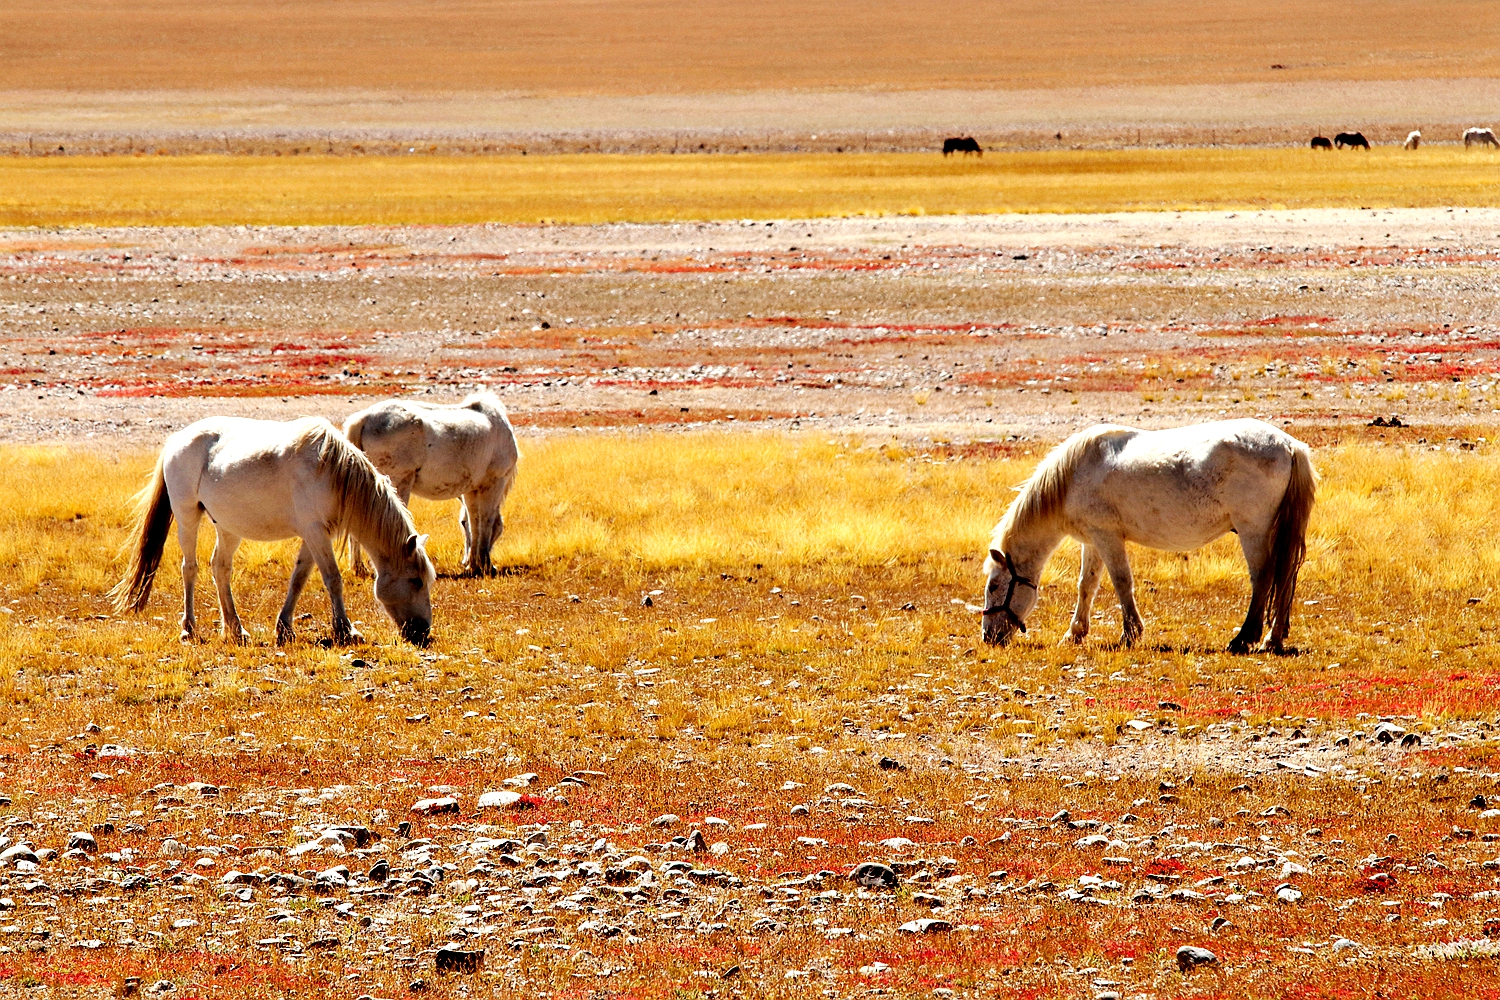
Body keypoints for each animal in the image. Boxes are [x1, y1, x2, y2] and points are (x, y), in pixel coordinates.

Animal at [110, 416, 435, 644]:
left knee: (220, 568)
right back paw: (189, 628)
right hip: (187, 516)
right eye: (416, 580)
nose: (422, 632)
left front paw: (285, 628)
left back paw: (235, 629)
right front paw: (346, 630)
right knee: (189, 568)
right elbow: (333, 578)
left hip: (228, 528)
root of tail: (177, 439)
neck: (333, 471)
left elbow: (299, 578)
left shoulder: (315, 534)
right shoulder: (315, 531)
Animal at [343, 389, 519, 578]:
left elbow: (474, 521)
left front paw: (474, 564)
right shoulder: (494, 483)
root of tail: (364, 419)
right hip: (397, 484)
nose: (464, 562)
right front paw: (486, 565)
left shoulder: (471, 490)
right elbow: (487, 520)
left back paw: (358, 567)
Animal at [984, 419, 1314, 653]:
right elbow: (1086, 586)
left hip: (1254, 531)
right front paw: (1074, 633)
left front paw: (1130, 634)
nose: (988, 636)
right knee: (1284, 580)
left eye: (994, 586)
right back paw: (1273, 639)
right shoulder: (1093, 540)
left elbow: (1121, 582)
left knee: (1263, 579)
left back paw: (1244, 638)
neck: (1072, 476)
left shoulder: (1108, 537)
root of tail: (1289, 445)